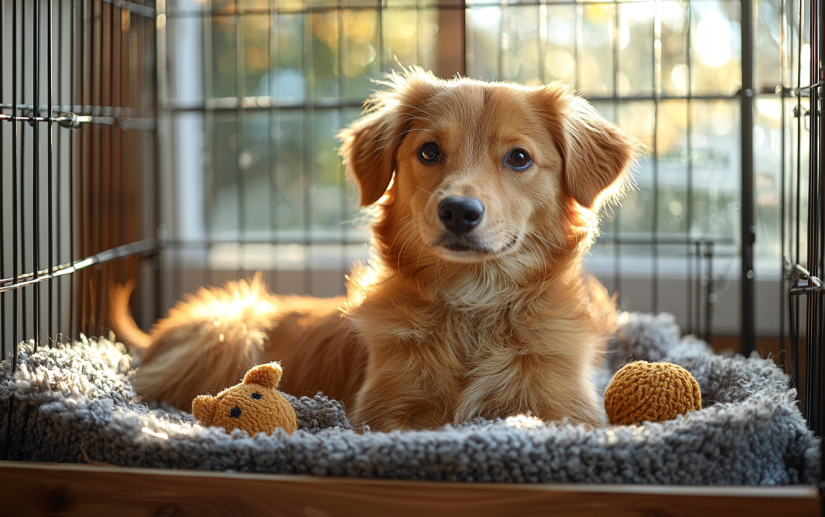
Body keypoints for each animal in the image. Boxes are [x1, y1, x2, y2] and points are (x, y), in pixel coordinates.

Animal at [111, 68, 636, 432]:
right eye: (429, 151)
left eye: (520, 158)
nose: (458, 211)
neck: (473, 306)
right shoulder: (383, 414)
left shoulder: (567, 410)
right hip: (230, 329)